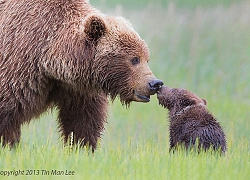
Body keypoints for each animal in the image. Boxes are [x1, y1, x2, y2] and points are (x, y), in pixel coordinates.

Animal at [0, 0, 163, 151]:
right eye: (134, 59)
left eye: (146, 58)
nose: (155, 83)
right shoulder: (20, 67)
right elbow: (7, 114)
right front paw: (8, 145)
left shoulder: (78, 88)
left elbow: (82, 120)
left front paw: (81, 148)